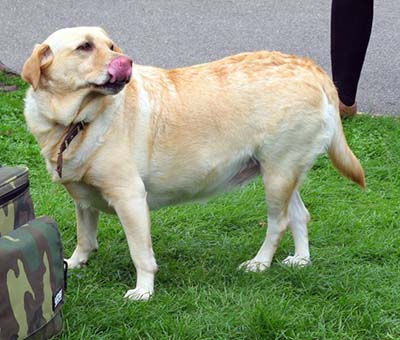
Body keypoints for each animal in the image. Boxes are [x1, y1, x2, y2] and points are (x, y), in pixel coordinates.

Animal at [22, 27, 366, 302]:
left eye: (111, 46)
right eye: (85, 47)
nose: (127, 62)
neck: (76, 123)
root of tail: (311, 67)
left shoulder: (130, 197)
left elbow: (140, 253)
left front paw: (144, 291)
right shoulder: (82, 197)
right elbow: (85, 236)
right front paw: (74, 263)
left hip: (277, 175)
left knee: (278, 223)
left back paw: (260, 263)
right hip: (282, 171)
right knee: (299, 215)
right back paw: (301, 260)